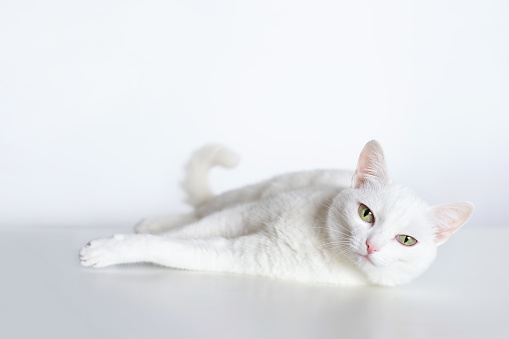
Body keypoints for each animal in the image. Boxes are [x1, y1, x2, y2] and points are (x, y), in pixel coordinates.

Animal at [78, 141, 472, 286]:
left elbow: (170, 247)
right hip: (255, 193)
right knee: (204, 210)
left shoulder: (234, 254)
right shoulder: (241, 216)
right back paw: (154, 220)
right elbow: (177, 235)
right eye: (365, 214)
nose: (372, 245)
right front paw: (114, 243)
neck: (320, 238)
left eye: (406, 240)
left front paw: (108, 249)